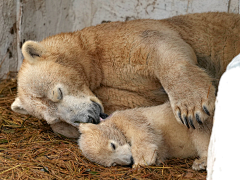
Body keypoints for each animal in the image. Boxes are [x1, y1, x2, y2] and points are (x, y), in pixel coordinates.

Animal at [10, 11, 240, 138]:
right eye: (53, 117)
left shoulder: (119, 40)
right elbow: (135, 102)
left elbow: (161, 47)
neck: (92, 54)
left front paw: (190, 110)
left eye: (58, 92)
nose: (89, 118)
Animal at [79, 102, 212, 169]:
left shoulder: (129, 117)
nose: (130, 160)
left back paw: (200, 162)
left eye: (112, 145)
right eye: (113, 164)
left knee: (200, 133)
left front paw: (141, 161)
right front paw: (155, 159)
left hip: (197, 121)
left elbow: (142, 131)